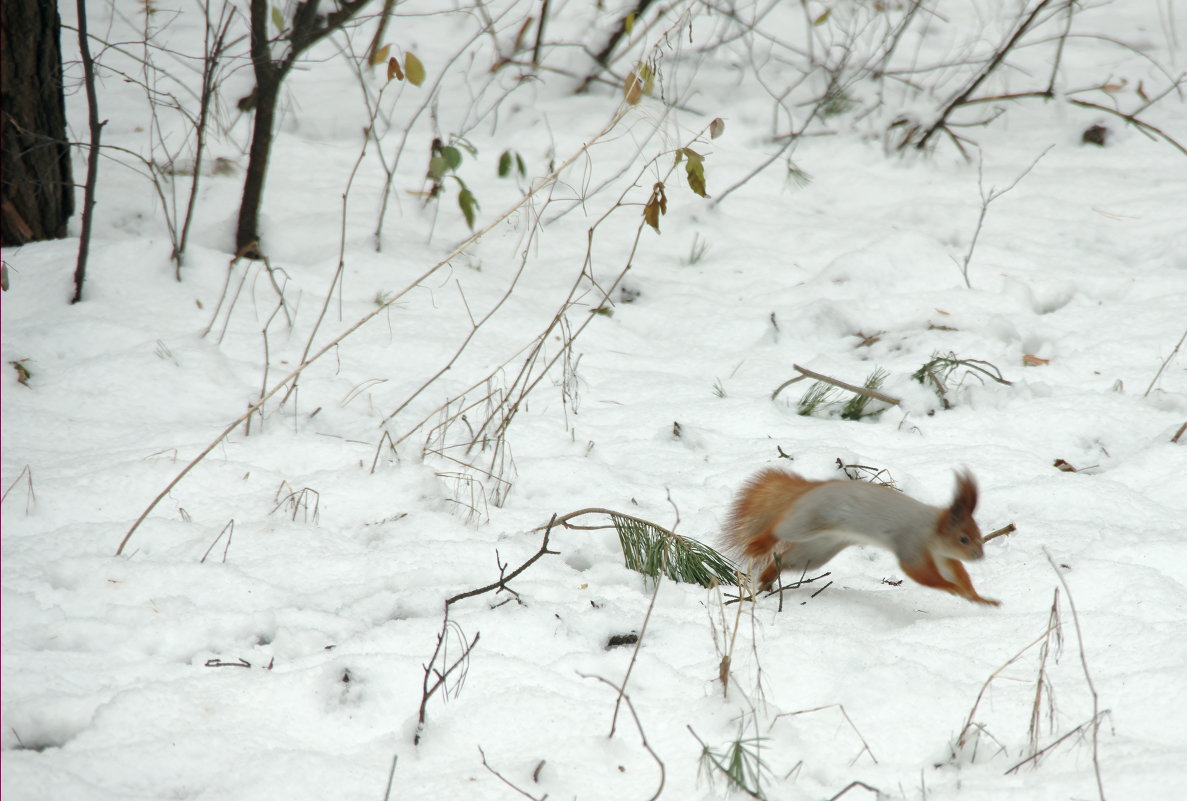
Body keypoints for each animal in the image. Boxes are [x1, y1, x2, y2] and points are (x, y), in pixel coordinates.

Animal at [721, 467, 1001, 605]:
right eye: (963, 538)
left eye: (978, 533)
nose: (979, 555)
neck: (932, 529)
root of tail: (814, 487)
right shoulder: (911, 544)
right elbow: (921, 573)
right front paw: (951, 588)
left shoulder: (942, 556)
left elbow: (957, 571)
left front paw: (978, 598)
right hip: (807, 522)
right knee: (778, 530)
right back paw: (761, 544)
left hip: (818, 550)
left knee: (787, 560)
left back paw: (767, 579)